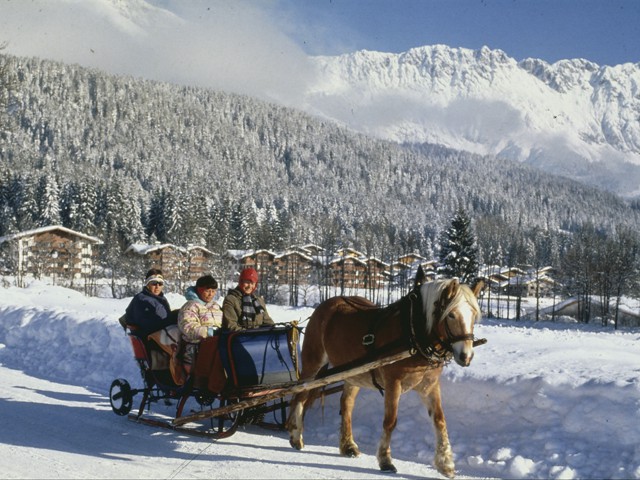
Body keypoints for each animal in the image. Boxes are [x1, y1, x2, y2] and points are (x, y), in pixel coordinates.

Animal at [284, 268, 484, 478]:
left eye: (473, 315)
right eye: (451, 315)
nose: (466, 356)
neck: (414, 333)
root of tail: (325, 305)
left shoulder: (429, 386)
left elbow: (439, 420)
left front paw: (445, 463)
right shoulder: (393, 383)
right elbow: (390, 421)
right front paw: (385, 460)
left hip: (353, 374)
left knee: (346, 404)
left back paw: (347, 445)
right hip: (313, 363)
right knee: (300, 394)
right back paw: (296, 435)